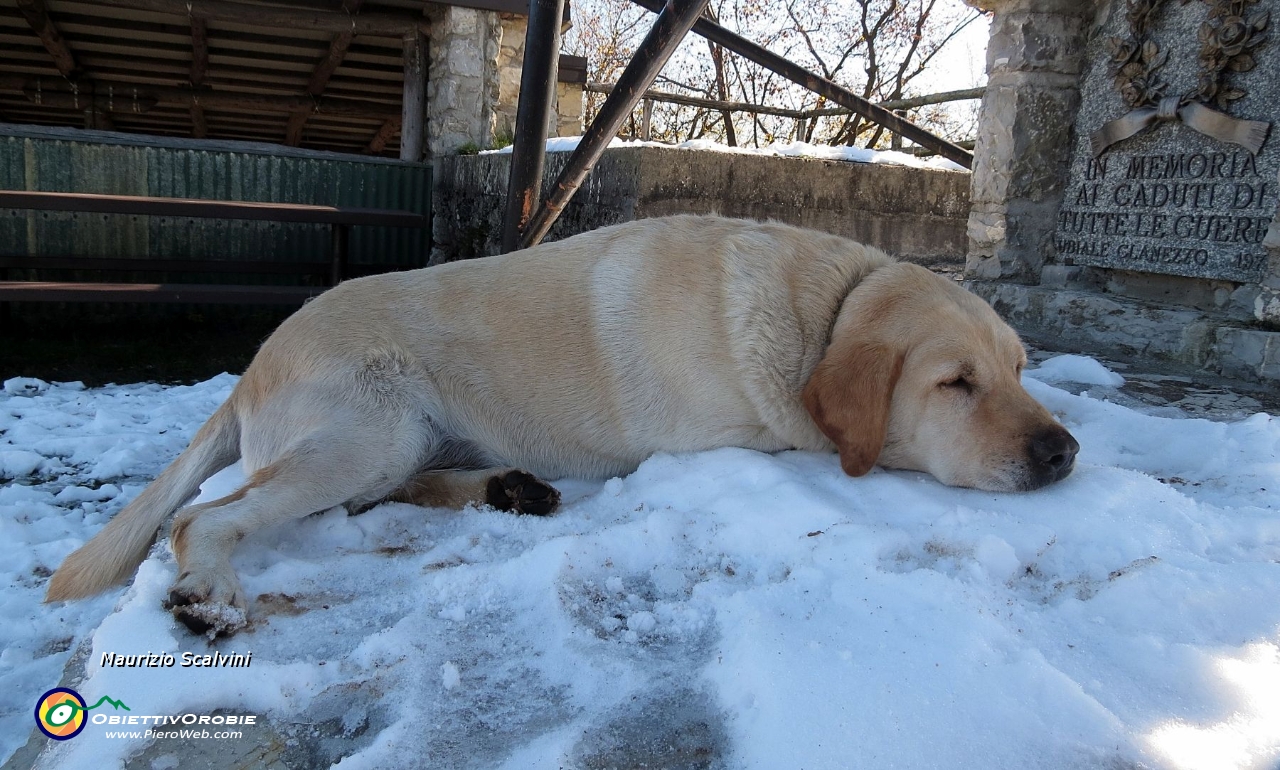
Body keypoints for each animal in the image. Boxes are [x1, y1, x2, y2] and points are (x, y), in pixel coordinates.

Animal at [45, 214, 1075, 629]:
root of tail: (255, 362)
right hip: (366, 430)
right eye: (956, 383)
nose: (1064, 451)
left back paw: (510, 488)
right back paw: (210, 592)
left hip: (394, 440)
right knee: (203, 517)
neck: (821, 312)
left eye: (1022, 370)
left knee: (391, 495)